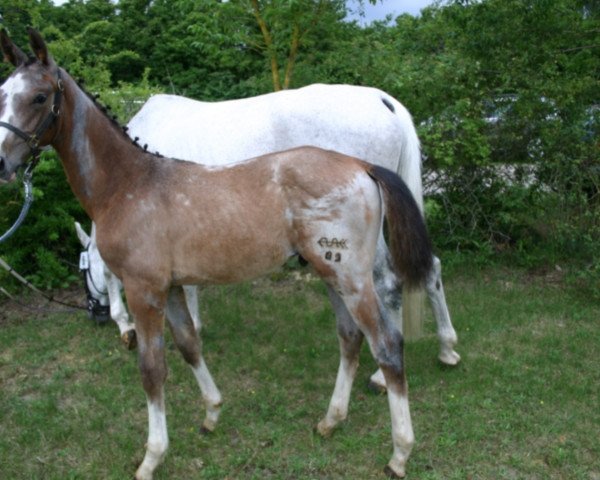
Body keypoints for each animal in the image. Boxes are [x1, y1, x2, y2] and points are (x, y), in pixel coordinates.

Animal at [76, 84, 460, 390]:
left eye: (84, 272)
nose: (95, 315)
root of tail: (382, 100)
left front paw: (125, 323)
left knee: (389, 282)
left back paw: (383, 373)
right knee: (430, 268)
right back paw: (447, 347)